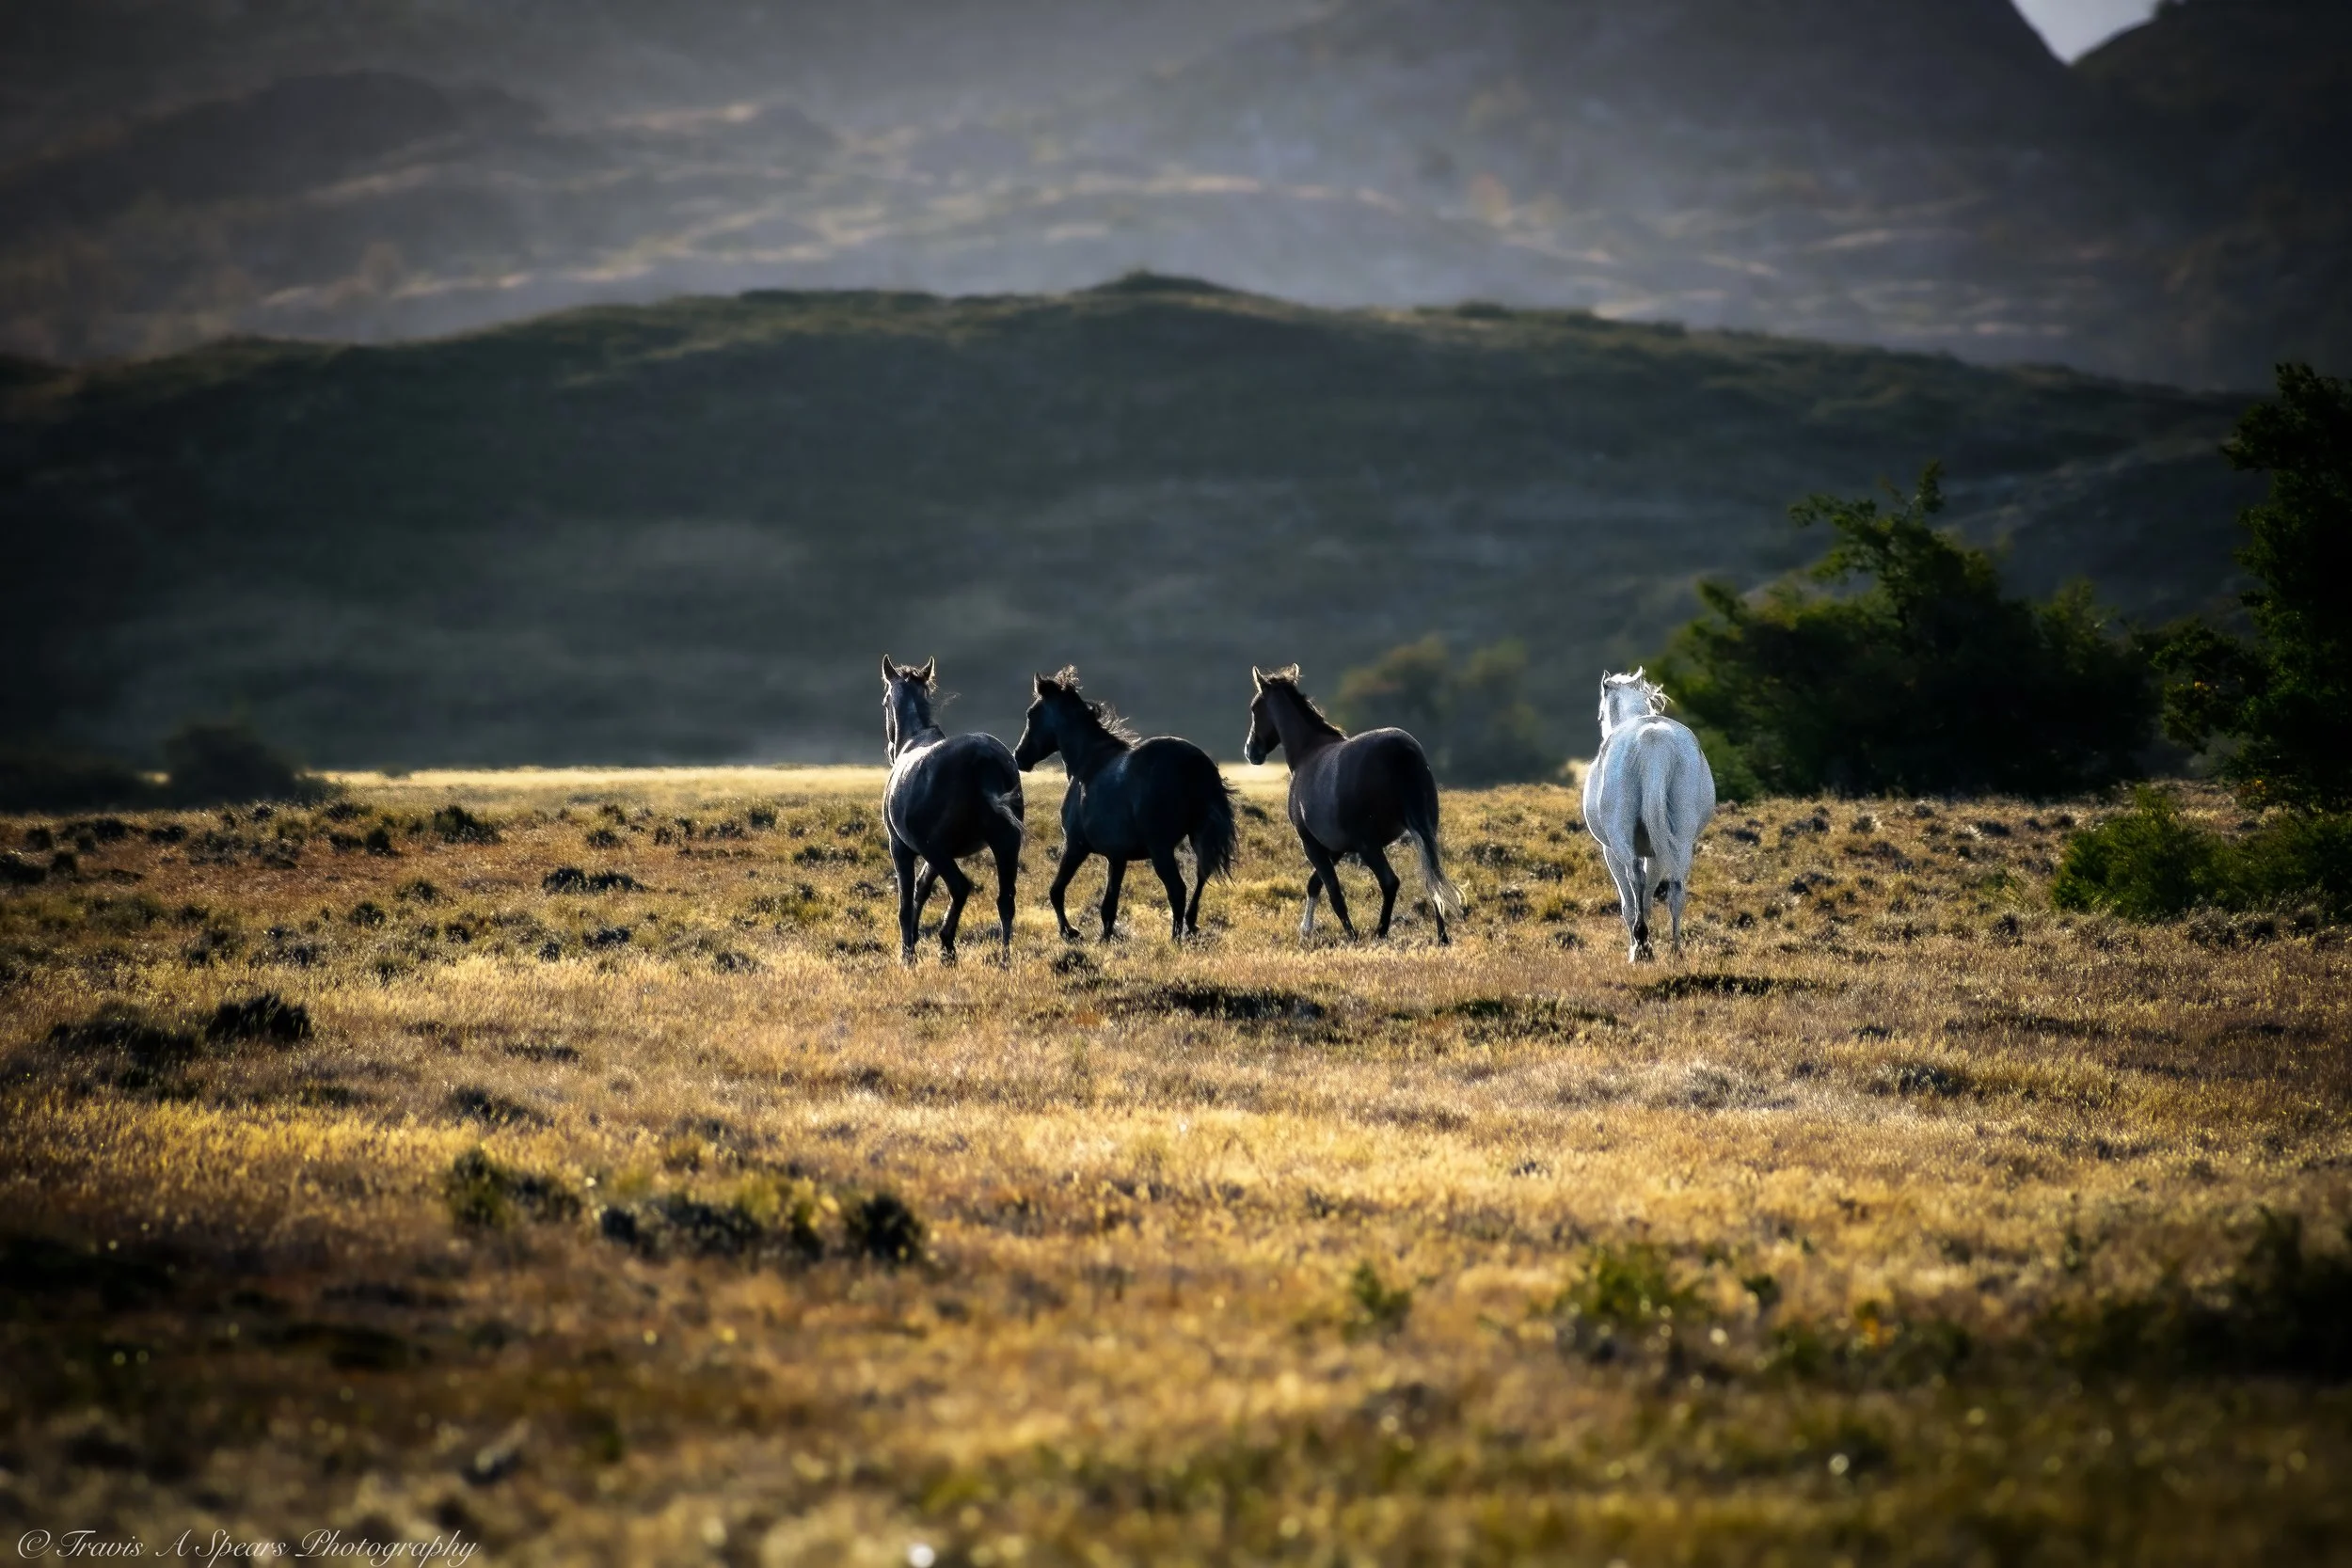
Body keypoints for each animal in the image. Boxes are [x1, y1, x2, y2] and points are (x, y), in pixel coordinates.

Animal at [878, 655, 1025, 964]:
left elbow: (906, 901)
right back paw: (1003, 959)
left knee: (960, 887)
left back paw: (947, 945)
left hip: (935, 848)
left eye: (885, 702)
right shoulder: (936, 856)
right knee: (1006, 899)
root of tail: (984, 757)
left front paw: (907, 954)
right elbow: (922, 889)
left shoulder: (901, 847)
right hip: (1006, 842)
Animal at [1012, 667, 1237, 942]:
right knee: (1201, 876)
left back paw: (1175, 938)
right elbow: (1109, 904)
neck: (1088, 763)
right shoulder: (1116, 857)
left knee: (1177, 889)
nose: (1019, 756)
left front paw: (1070, 932)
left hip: (1160, 849)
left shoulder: (1076, 845)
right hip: (1197, 837)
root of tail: (1195, 764)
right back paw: (1190, 925)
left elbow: (1056, 890)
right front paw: (1105, 938)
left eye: (1031, 713)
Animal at [1243, 664, 1462, 943]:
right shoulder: (1335, 848)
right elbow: (1314, 884)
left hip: (1369, 845)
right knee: (1432, 879)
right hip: (1424, 833)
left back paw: (1380, 932)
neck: (1308, 753)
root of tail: (1402, 751)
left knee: (1390, 882)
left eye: (1254, 707)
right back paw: (1442, 937)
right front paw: (1306, 929)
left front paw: (1350, 935)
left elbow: (1333, 892)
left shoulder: (1312, 845)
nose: (1251, 751)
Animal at [1584, 668, 1715, 962]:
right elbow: (1650, 895)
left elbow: (1631, 902)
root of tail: (1653, 738)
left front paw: (1639, 944)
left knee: (1635, 878)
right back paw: (1676, 951)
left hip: (1620, 841)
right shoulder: (1656, 850)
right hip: (1681, 840)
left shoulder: (1610, 851)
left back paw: (1641, 945)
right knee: (1677, 889)